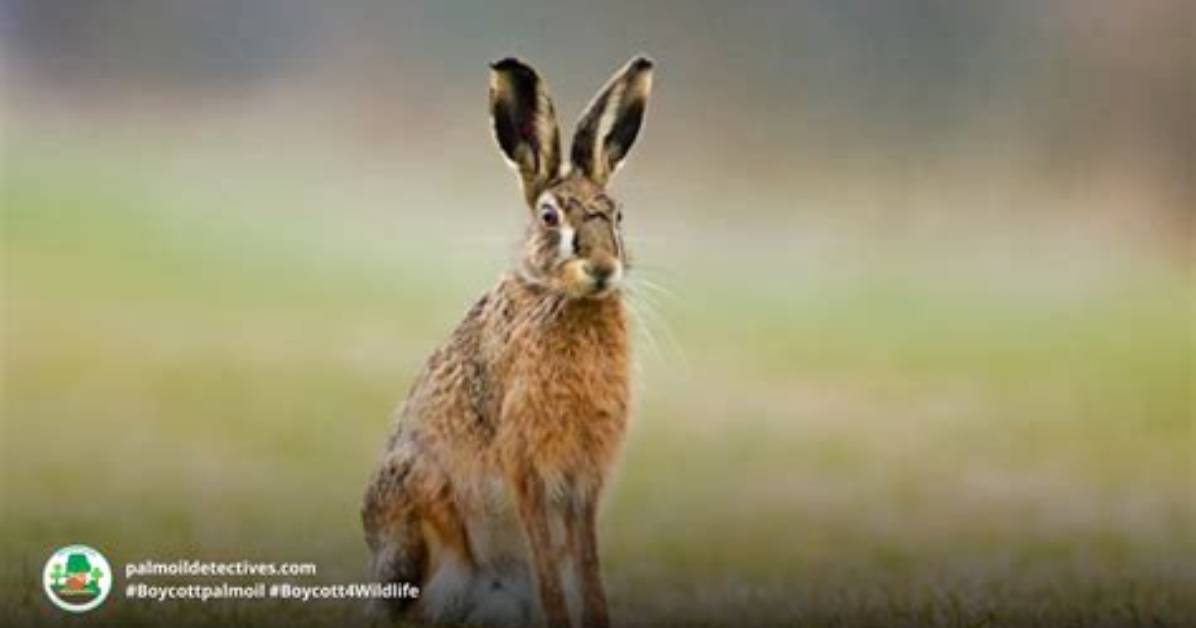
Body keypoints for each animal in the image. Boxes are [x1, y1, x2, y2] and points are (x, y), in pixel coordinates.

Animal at [362, 56, 654, 628]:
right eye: (550, 217)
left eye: (618, 216)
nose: (603, 268)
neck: (563, 301)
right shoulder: (526, 465)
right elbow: (546, 555)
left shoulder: (584, 478)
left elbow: (585, 560)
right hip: (413, 518)